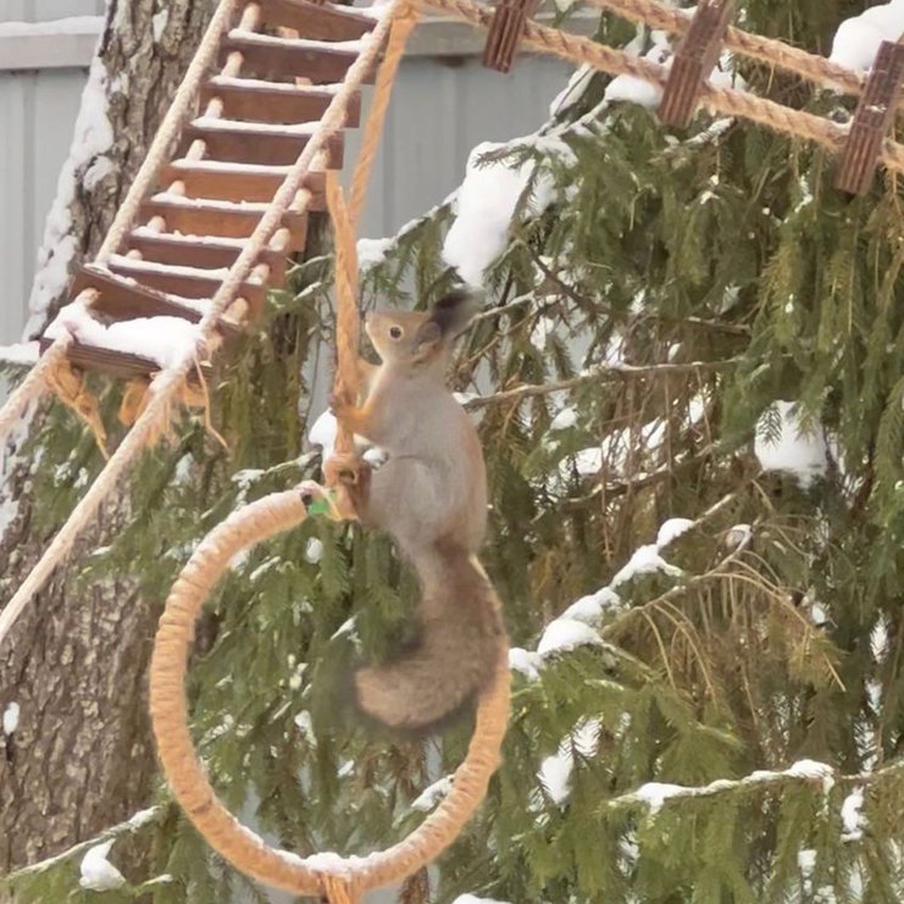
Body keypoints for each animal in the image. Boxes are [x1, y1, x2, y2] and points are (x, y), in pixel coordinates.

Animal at [324, 290, 508, 736]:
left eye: (395, 332)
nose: (369, 318)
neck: (411, 377)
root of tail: (443, 547)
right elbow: (370, 373)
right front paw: (355, 362)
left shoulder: (396, 413)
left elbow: (375, 428)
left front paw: (346, 410)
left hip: (407, 482)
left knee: (374, 516)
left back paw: (360, 492)